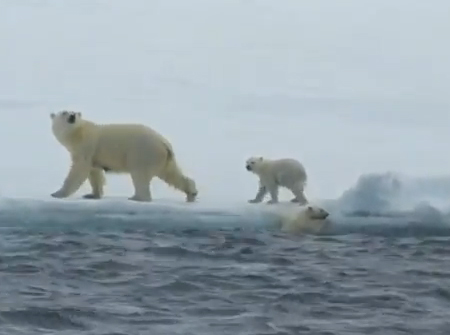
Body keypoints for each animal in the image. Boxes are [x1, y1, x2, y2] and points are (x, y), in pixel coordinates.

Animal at [48, 111, 197, 203]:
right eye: (64, 112)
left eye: (73, 112)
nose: (72, 116)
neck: (78, 134)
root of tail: (164, 143)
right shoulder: (94, 155)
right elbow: (95, 173)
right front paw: (92, 195)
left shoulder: (86, 146)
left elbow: (78, 170)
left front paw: (57, 193)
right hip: (163, 159)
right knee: (172, 174)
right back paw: (191, 193)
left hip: (143, 153)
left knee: (140, 175)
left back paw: (136, 197)